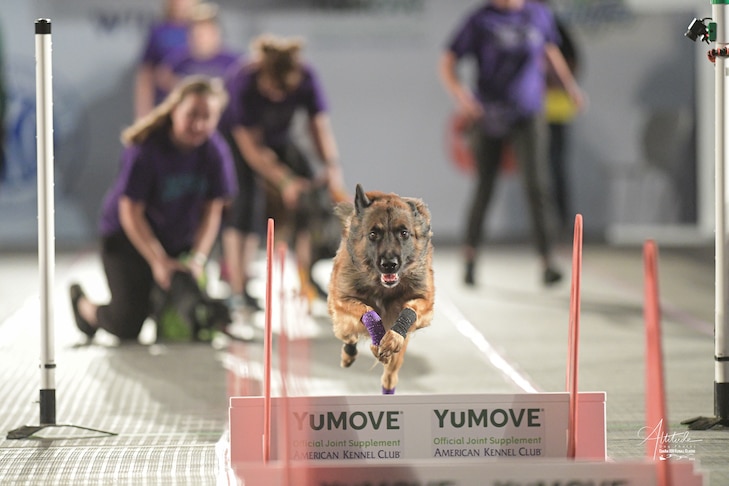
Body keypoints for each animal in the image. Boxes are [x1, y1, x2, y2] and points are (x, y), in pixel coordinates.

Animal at [328, 184, 432, 392]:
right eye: (373, 234)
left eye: (404, 233)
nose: (389, 265)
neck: (383, 287)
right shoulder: (342, 300)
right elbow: (368, 311)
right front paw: (377, 339)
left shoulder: (425, 301)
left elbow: (409, 310)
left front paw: (392, 336)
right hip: (341, 323)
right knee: (349, 337)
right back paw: (349, 354)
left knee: (389, 377)